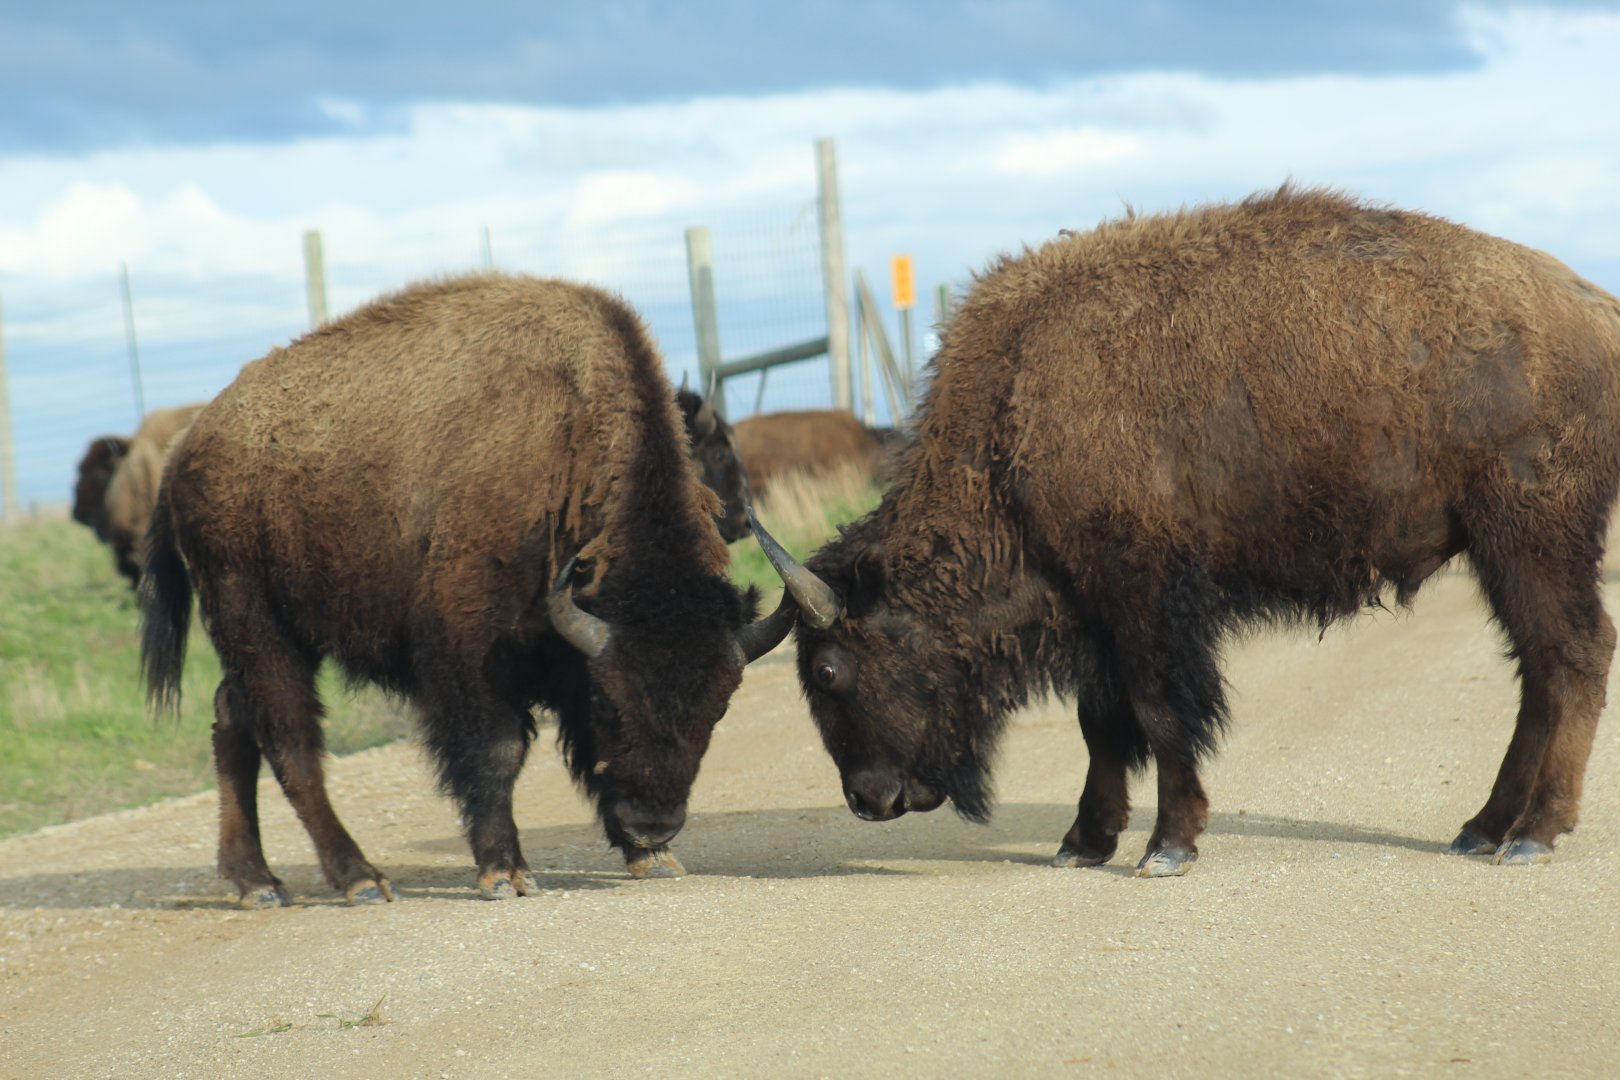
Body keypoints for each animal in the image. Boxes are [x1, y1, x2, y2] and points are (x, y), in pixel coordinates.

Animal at [141, 272, 796, 907]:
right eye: (612, 701)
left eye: (719, 706)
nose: (653, 823)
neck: (564, 447)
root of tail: (183, 452)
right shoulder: (469, 652)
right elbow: (498, 751)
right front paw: (505, 874)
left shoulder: (568, 649)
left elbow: (581, 751)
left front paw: (651, 859)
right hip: (255, 620)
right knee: (290, 741)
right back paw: (359, 880)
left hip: (262, 636)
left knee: (233, 719)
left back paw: (257, 883)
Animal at [759, 186, 1620, 874]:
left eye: (830, 671)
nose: (869, 798)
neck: (1014, 412)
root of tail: (1595, 309)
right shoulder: (1093, 612)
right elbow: (1103, 727)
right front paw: (1082, 844)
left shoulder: (1143, 599)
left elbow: (1161, 712)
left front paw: (1165, 848)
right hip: (1502, 550)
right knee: (1539, 671)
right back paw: (1483, 828)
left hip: (1530, 536)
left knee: (1572, 655)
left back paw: (1533, 835)